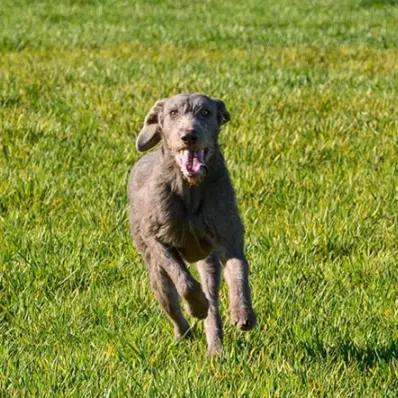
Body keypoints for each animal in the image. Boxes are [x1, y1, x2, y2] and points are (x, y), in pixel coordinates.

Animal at [129, 93, 256, 354]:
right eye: (173, 113)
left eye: (205, 112)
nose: (189, 135)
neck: (190, 190)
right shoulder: (155, 238)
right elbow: (182, 278)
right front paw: (196, 306)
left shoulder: (229, 237)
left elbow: (239, 271)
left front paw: (243, 313)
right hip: (153, 268)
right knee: (170, 299)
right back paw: (184, 333)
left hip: (208, 262)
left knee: (213, 300)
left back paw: (215, 349)